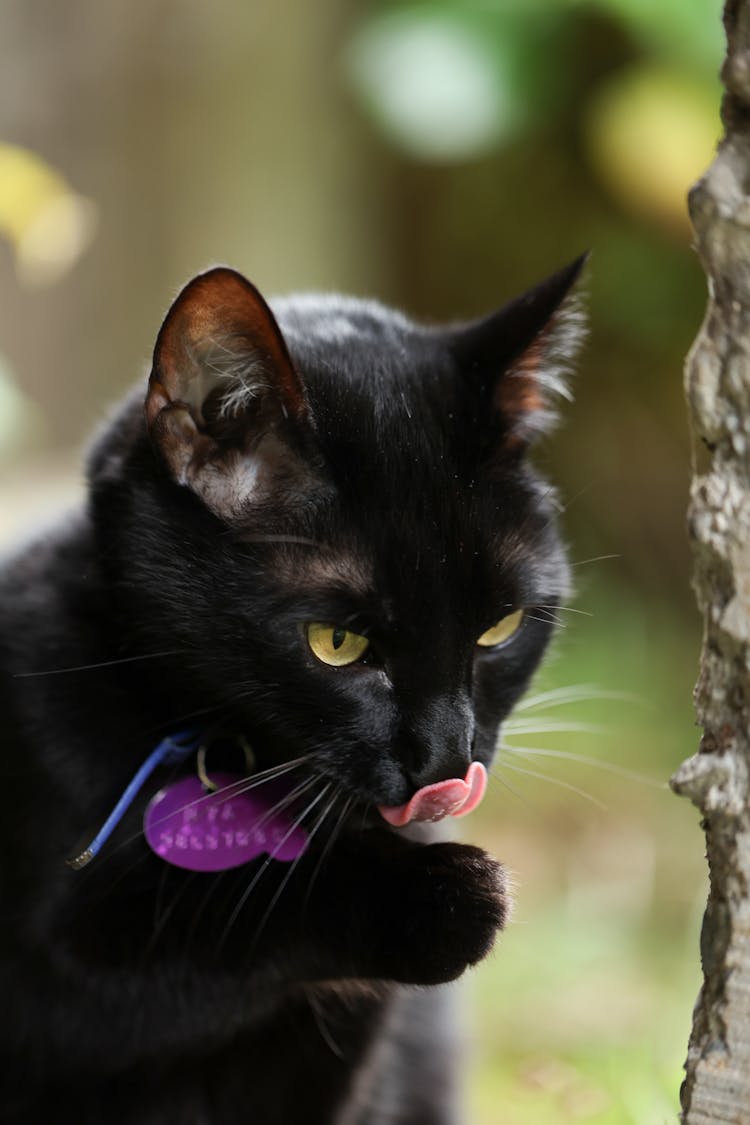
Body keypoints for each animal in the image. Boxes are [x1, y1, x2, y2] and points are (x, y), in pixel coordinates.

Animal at [0, 257, 584, 1125]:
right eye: (337, 644)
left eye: (500, 627)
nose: (446, 759)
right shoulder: (53, 971)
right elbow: (200, 917)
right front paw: (445, 895)